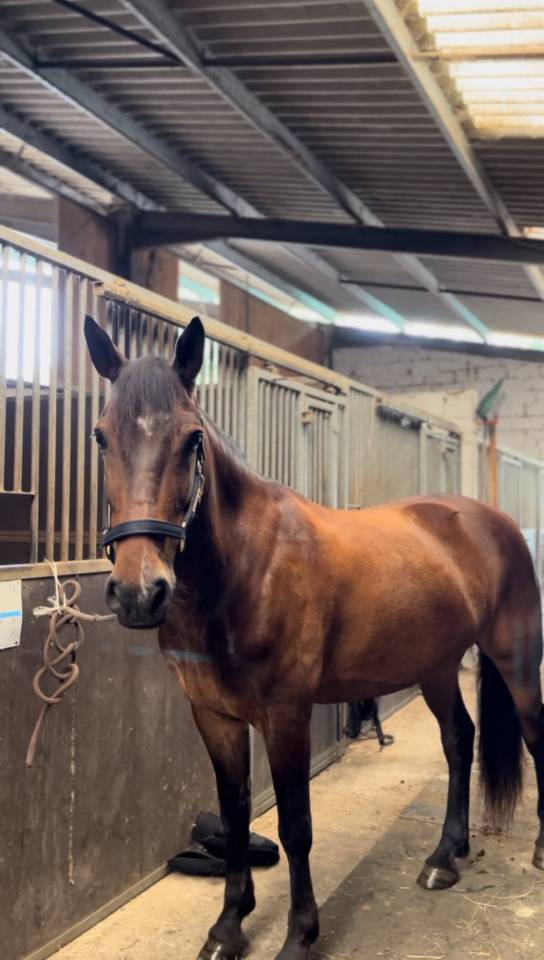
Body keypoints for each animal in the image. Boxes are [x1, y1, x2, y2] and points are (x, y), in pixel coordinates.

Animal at [84, 314, 544, 960]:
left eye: (192, 439)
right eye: (102, 437)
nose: (138, 591)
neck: (247, 568)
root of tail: (492, 520)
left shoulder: (286, 715)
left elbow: (295, 826)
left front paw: (300, 935)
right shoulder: (214, 717)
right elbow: (235, 817)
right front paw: (228, 926)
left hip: (516, 661)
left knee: (534, 738)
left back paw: (535, 850)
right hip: (435, 668)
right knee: (459, 741)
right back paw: (444, 856)